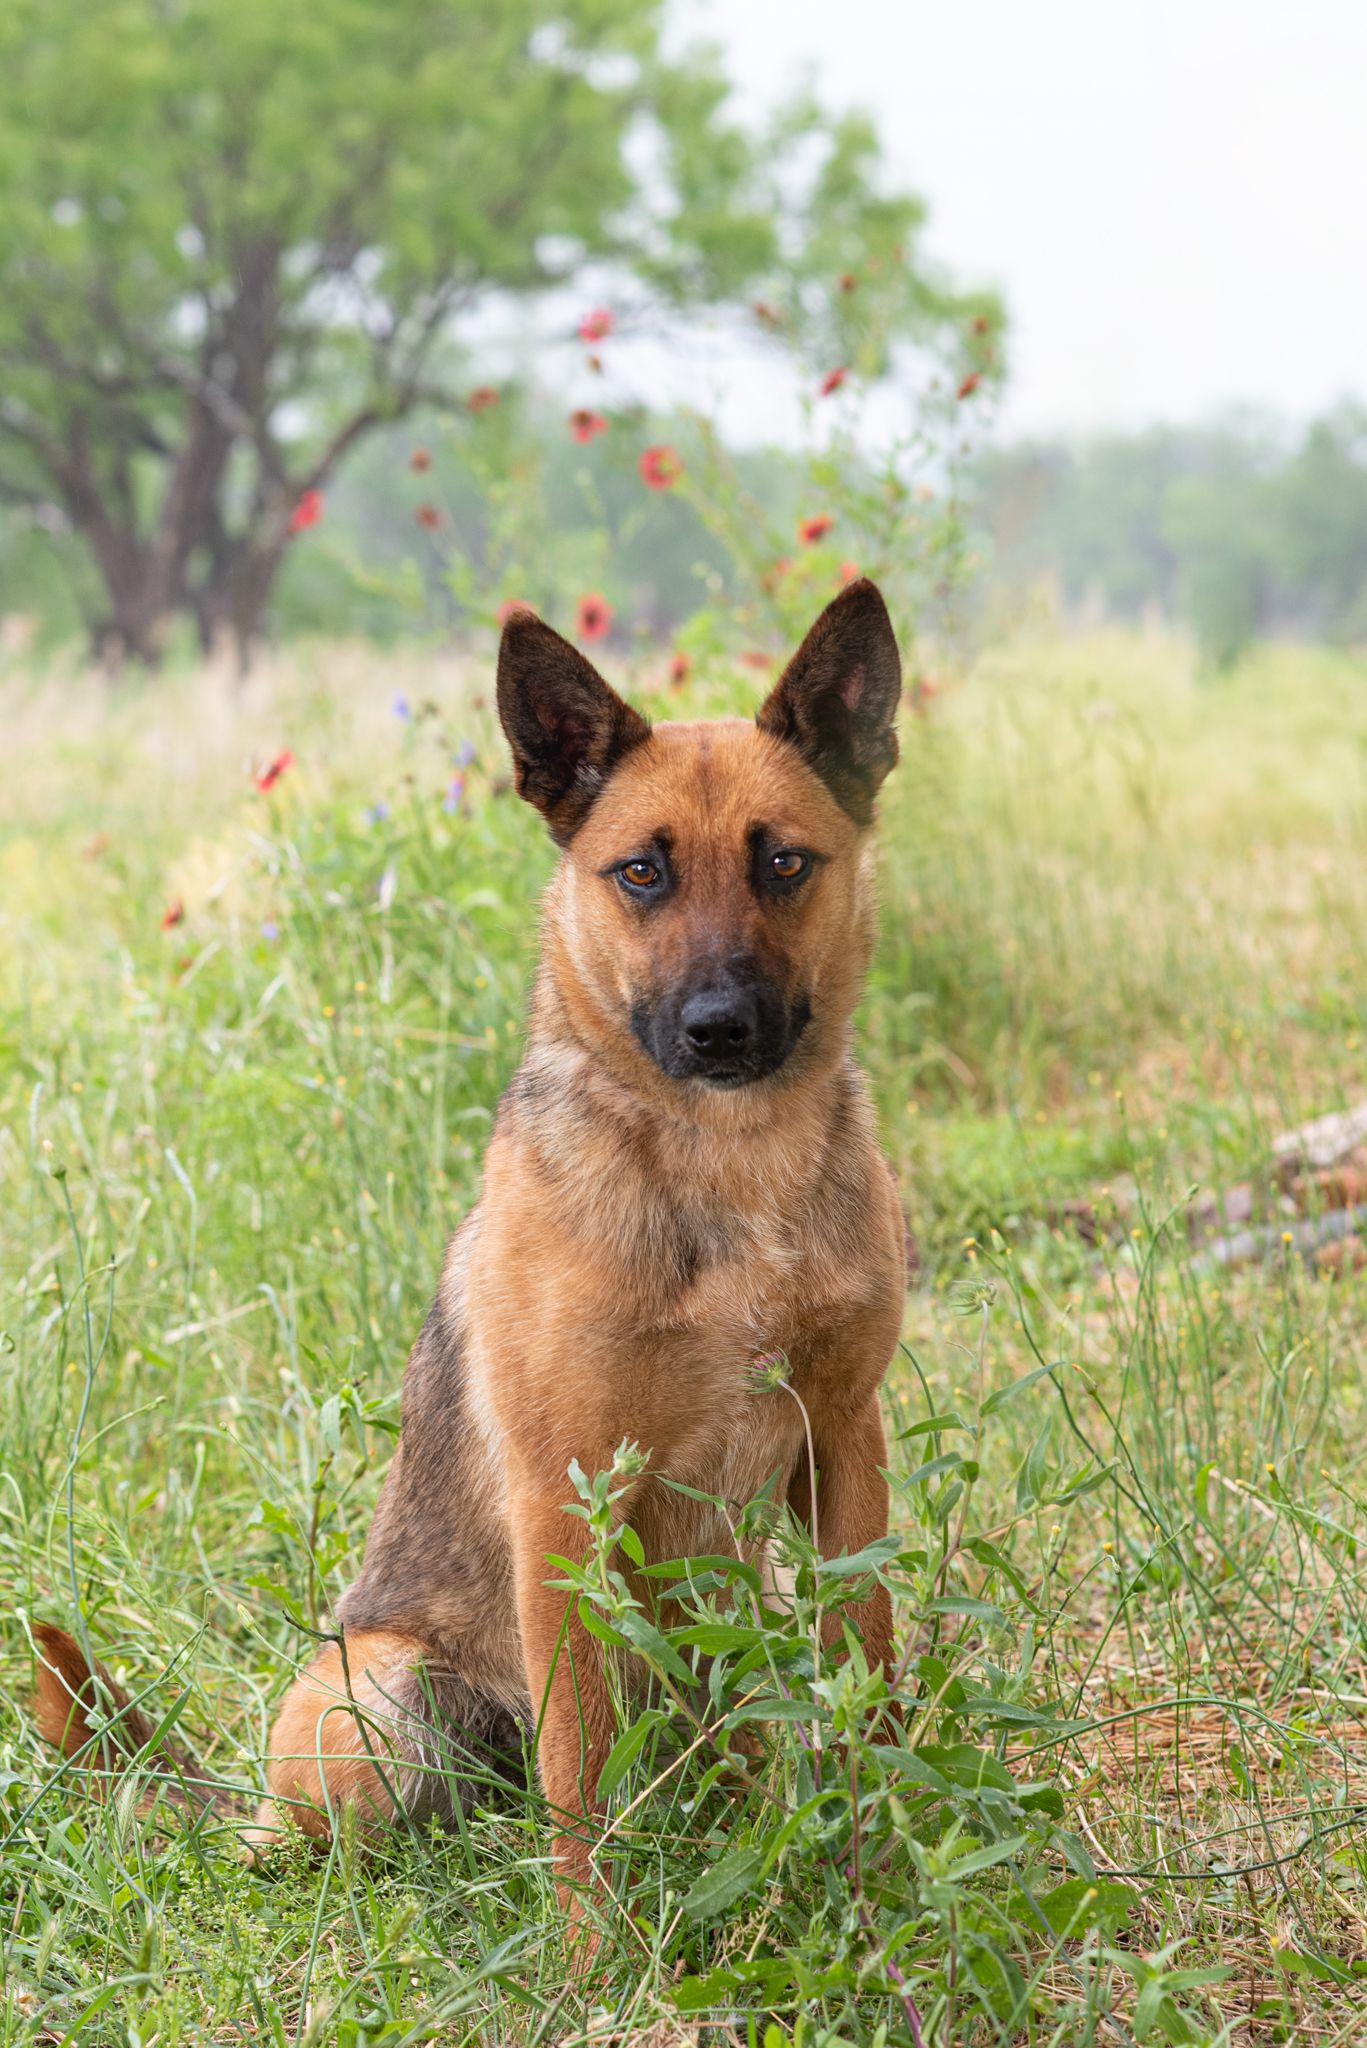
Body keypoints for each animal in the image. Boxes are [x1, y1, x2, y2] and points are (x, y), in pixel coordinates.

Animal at [32, 581, 909, 1933]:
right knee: (376, 1834)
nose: (718, 1029)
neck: (725, 1171)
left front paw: (885, 1887)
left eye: (783, 862)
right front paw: (601, 1958)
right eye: (640, 871)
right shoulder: (563, 1502)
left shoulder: (842, 1449)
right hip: (383, 1696)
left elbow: (867, 1686)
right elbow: (581, 1772)